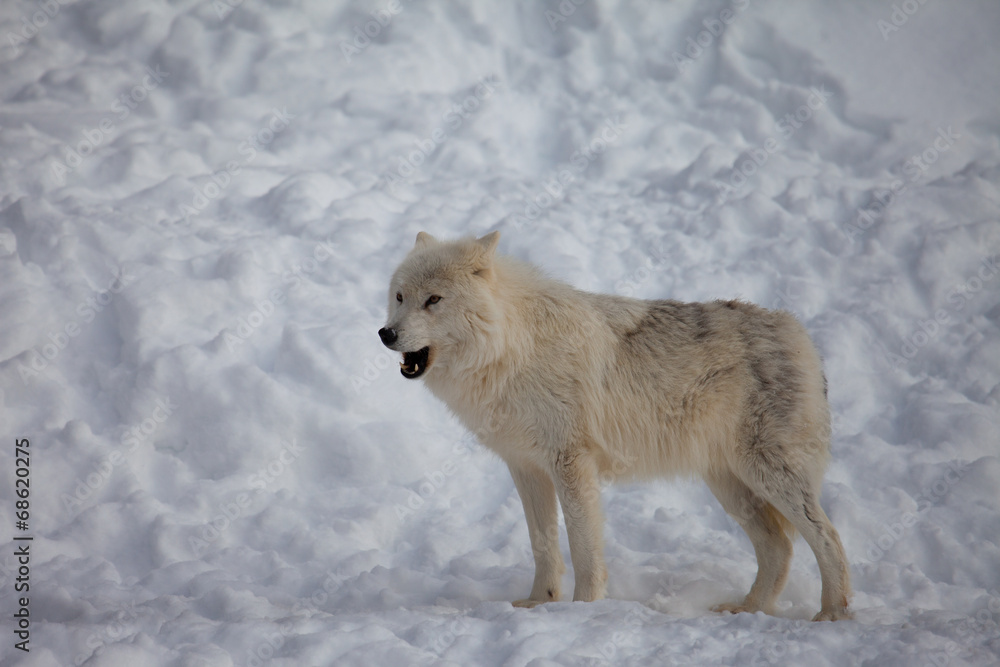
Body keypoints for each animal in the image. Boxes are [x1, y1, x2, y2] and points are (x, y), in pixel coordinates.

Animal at [378, 231, 852, 621]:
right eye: (399, 297)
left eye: (433, 300)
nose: (385, 334)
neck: (512, 349)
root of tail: (799, 333)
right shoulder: (526, 468)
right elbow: (543, 544)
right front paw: (538, 603)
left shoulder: (571, 462)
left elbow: (584, 546)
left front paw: (584, 607)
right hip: (730, 484)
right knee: (780, 546)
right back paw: (748, 610)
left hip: (766, 474)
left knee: (827, 536)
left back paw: (832, 614)